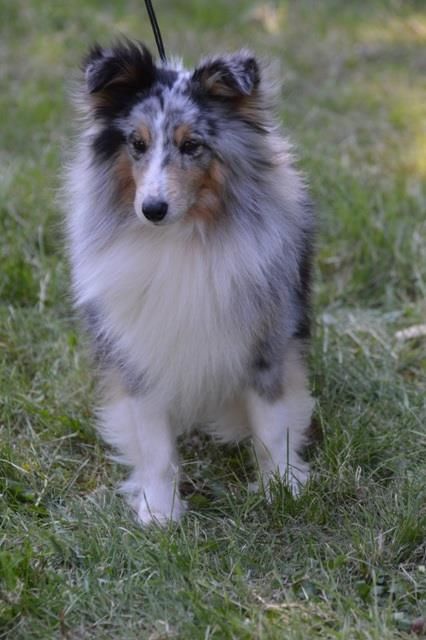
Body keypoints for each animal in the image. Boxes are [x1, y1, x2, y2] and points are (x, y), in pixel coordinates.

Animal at [64, 37, 316, 524]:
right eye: (137, 143)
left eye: (192, 144)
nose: (153, 209)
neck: (183, 237)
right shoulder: (140, 353)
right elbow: (156, 446)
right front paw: (160, 513)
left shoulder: (267, 344)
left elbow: (273, 425)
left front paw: (283, 490)